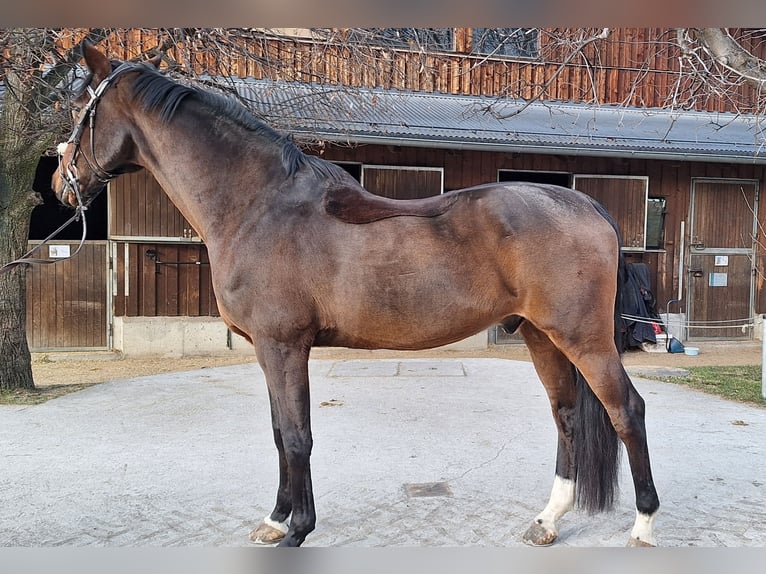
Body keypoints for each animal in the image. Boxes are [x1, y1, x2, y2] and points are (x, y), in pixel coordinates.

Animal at [52, 42, 659, 547]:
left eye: (80, 110)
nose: (60, 186)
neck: (258, 205)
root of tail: (585, 204)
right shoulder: (268, 350)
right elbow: (280, 434)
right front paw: (276, 521)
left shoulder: (283, 346)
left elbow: (296, 436)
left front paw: (298, 530)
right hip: (540, 335)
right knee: (567, 415)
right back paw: (547, 521)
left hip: (584, 339)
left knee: (626, 410)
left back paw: (644, 526)